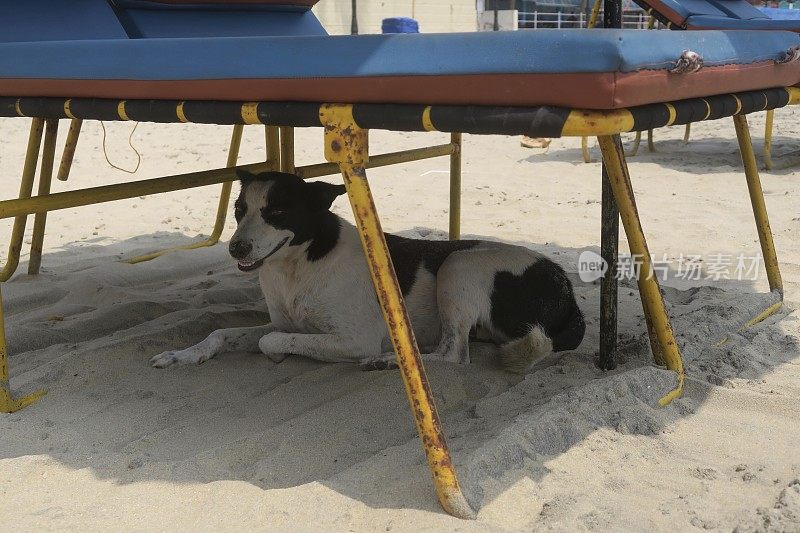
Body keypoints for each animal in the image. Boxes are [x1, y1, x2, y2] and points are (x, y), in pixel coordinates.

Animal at [150, 170, 584, 370]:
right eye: (239, 211)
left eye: (278, 212)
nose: (235, 247)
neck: (298, 266)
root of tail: (565, 287)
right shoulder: (282, 320)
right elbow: (220, 333)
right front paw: (181, 354)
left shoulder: (353, 340)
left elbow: (270, 342)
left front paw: (276, 354)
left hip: (458, 265)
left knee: (454, 355)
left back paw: (393, 360)